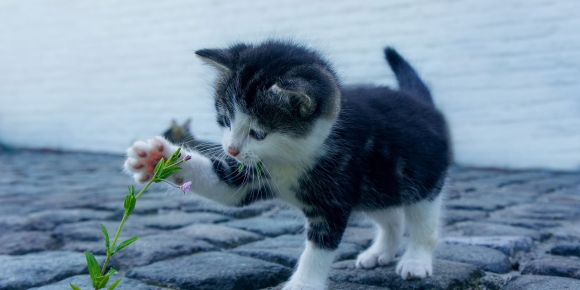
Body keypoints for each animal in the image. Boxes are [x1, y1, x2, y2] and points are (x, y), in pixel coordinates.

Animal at [125, 40, 454, 290]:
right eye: (226, 120)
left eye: (258, 133)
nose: (231, 149)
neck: (292, 157)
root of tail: (423, 103)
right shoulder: (253, 172)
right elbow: (225, 188)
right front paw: (156, 158)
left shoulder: (333, 197)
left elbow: (319, 248)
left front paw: (303, 284)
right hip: (377, 186)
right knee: (391, 217)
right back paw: (380, 252)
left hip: (421, 179)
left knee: (423, 222)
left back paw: (415, 261)